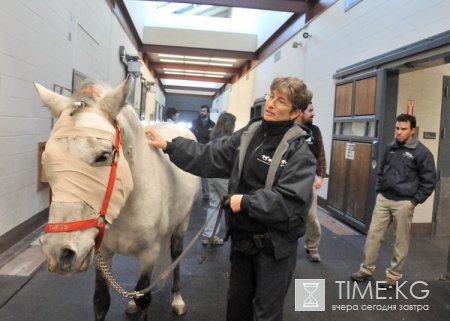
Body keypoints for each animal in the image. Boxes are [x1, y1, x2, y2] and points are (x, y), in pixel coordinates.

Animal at [36, 78, 201, 320]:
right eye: (48, 157)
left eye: (103, 156)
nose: (59, 252)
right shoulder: (102, 252)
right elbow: (101, 300)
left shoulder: (148, 254)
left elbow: (144, 299)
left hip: (182, 224)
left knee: (176, 256)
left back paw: (177, 299)